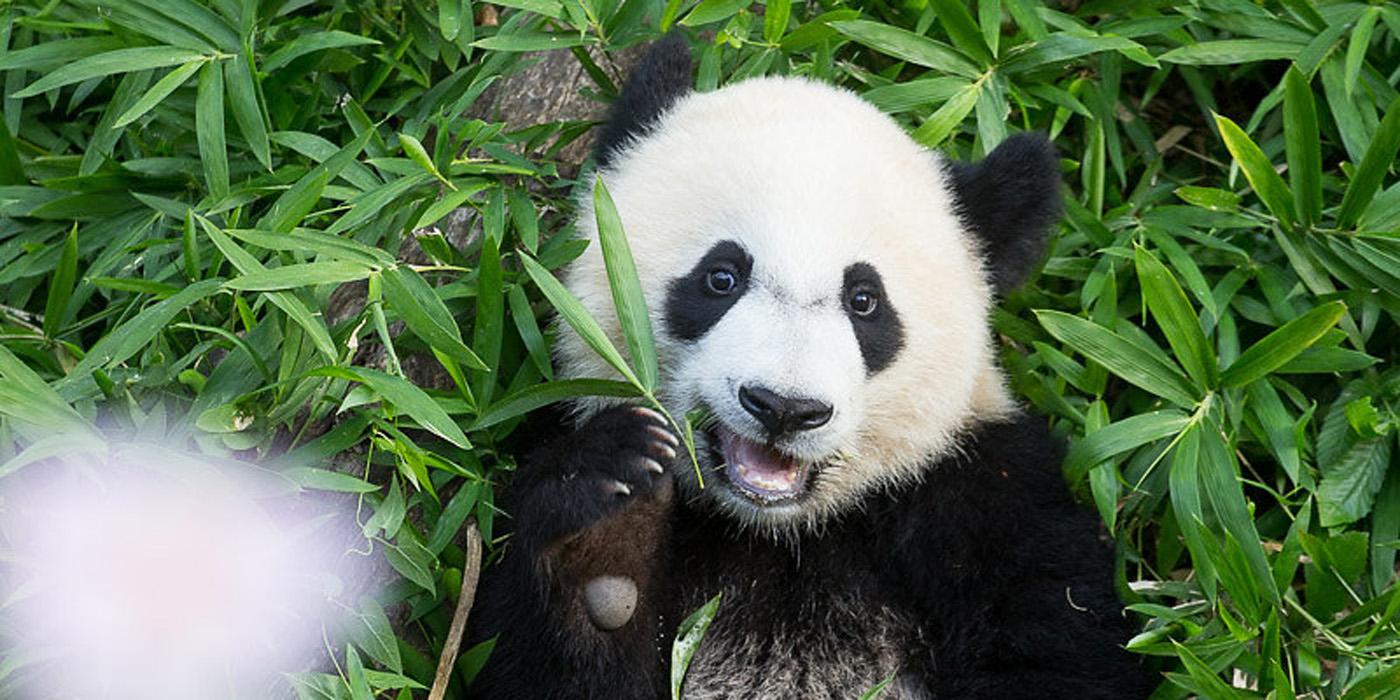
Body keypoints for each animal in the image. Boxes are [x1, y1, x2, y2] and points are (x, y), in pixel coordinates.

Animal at [470, 34, 1148, 700]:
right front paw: (605, 531)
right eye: (721, 277)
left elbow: (1055, 650)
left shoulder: (988, 499)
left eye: (865, 301)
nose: (784, 408)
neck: (777, 531)